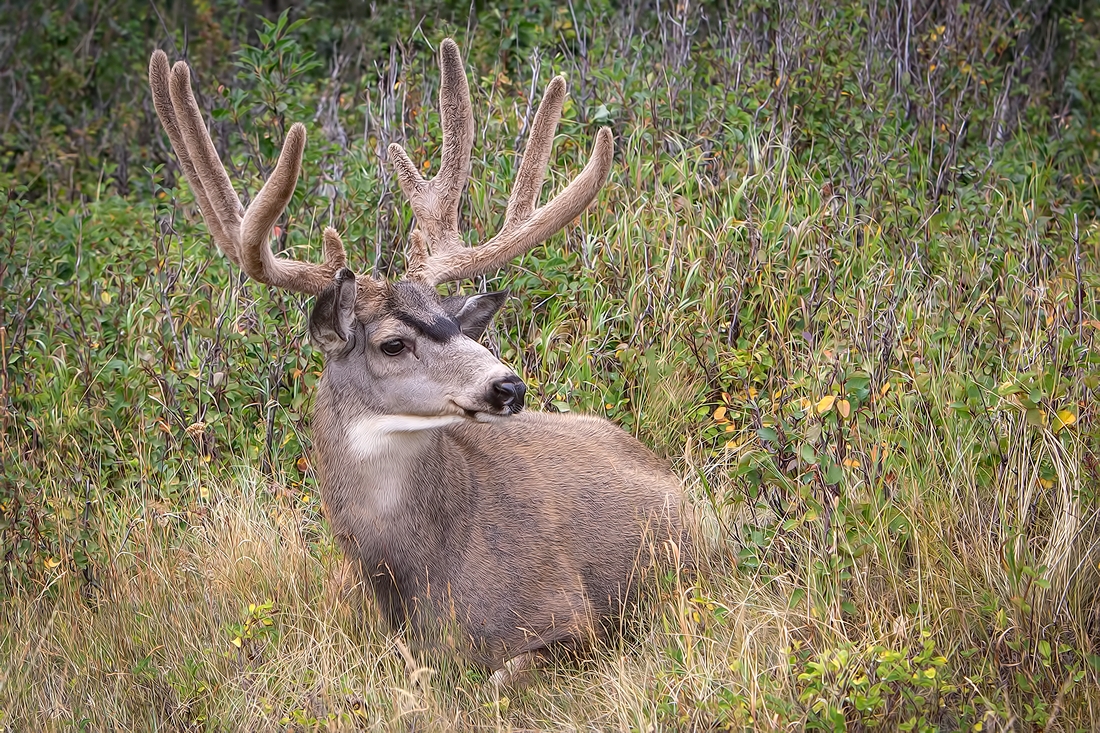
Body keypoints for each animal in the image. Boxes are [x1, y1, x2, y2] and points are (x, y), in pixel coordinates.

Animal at [148, 38, 686, 677]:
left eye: (454, 323)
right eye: (393, 344)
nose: (509, 386)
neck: (421, 572)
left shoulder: (573, 616)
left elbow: (504, 673)